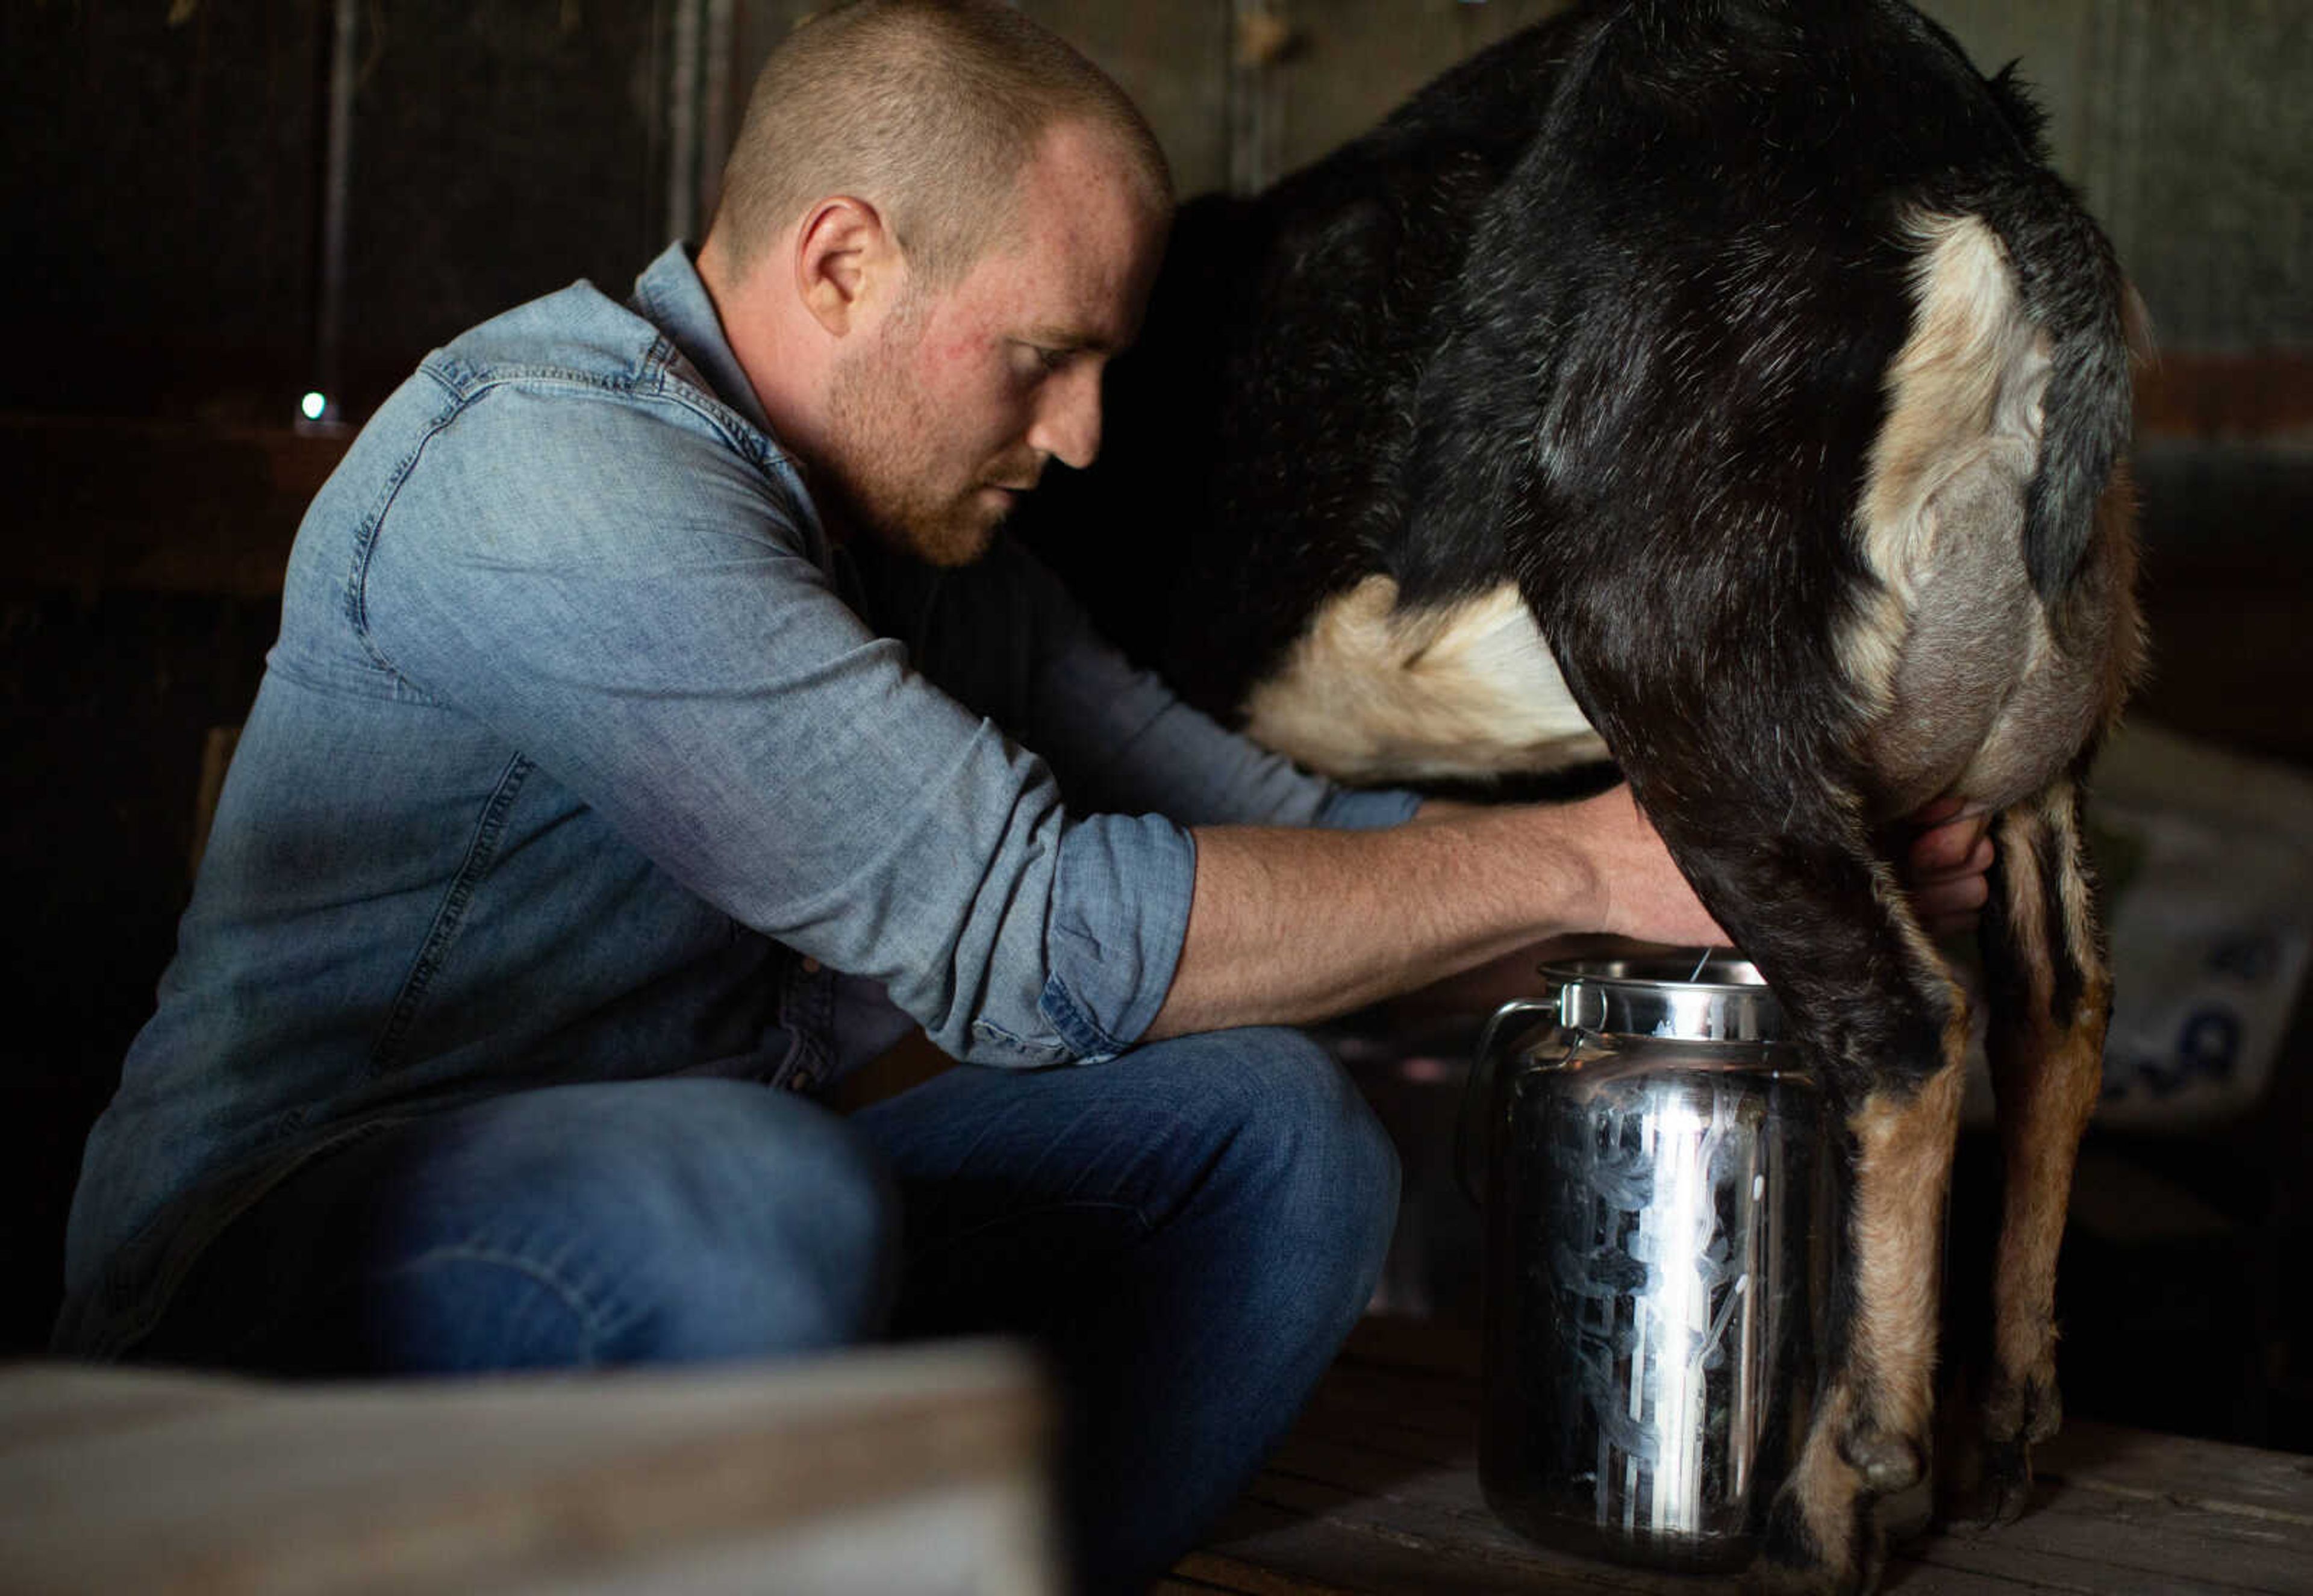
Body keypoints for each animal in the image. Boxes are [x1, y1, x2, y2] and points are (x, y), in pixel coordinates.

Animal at [1022, 3, 2137, 1591]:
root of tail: (1972, 177)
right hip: (2046, 731)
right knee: (2058, 1006)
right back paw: (2005, 1427)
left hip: (1678, 656)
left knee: (1909, 1028)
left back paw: (1839, 1482)